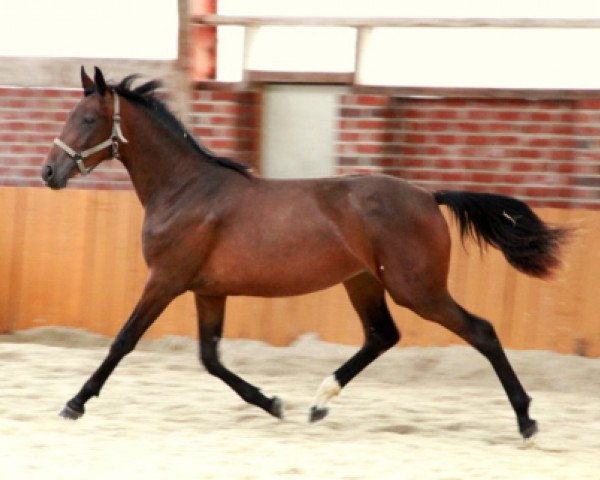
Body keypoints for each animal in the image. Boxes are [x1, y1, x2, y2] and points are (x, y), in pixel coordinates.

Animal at [42, 67, 568, 438]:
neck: (185, 189)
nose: (49, 173)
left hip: (417, 288)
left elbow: (124, 340)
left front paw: (74, 403)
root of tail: (427, 195)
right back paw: (318, 402)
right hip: (363, 282)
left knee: (481, 331)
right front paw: (273, 403)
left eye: (87, 118)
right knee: (382, 336)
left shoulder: (165, 280)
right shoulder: (207, 291)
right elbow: (210, 358)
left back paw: (526, 420)